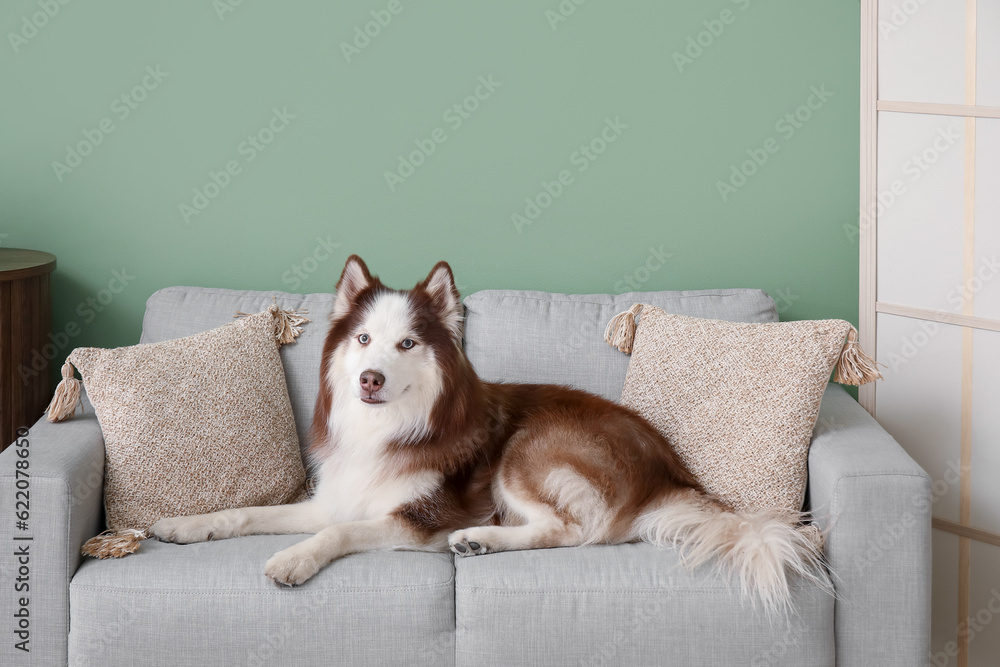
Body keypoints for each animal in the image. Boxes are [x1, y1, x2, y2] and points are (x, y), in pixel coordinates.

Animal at [150, 258, 828, 616]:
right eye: (364, 339)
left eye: (407, 344)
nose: (370, 378)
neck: (387, 427)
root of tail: (668, 470)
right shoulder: (333, 498)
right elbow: (249, 513)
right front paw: (186, 525)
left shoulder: (422, 517)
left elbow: (337, 534)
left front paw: (293, 559)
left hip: (526, 452)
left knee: (567, 530)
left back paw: (481, 538)